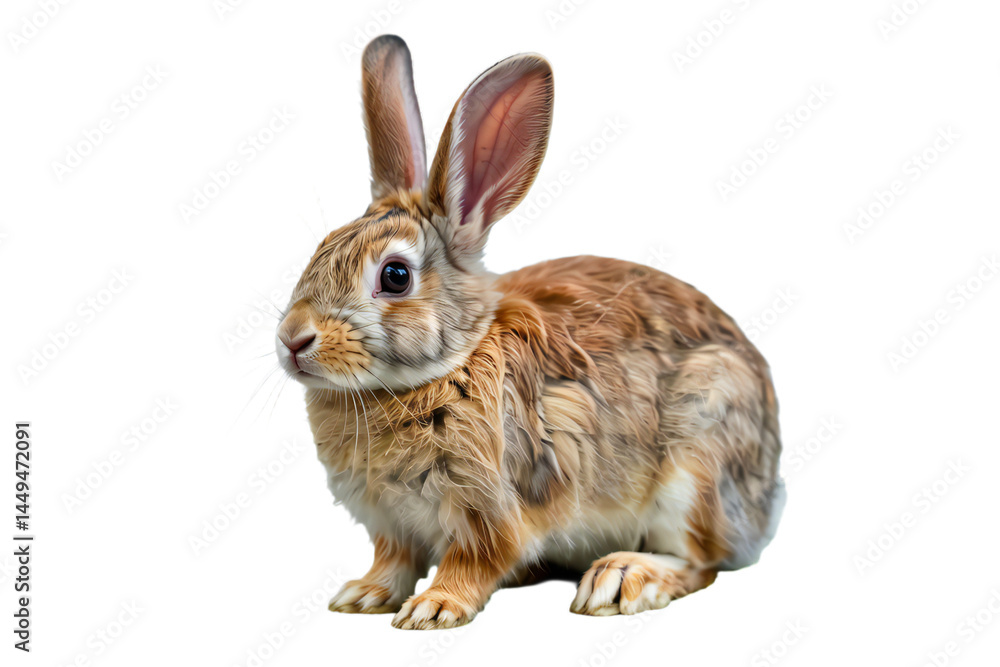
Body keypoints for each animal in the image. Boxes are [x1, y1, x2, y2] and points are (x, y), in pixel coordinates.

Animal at [275, 34, 784, 630]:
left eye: (395, 276)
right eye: (320, 250)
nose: (292, 340)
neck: (443, 368)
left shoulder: (490, 508)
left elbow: (474, 561)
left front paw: (432, 608)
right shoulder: (390, 525)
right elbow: (393, 561)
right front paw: (363, 595)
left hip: (699, 458)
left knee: (702, 559)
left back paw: (621, 578)